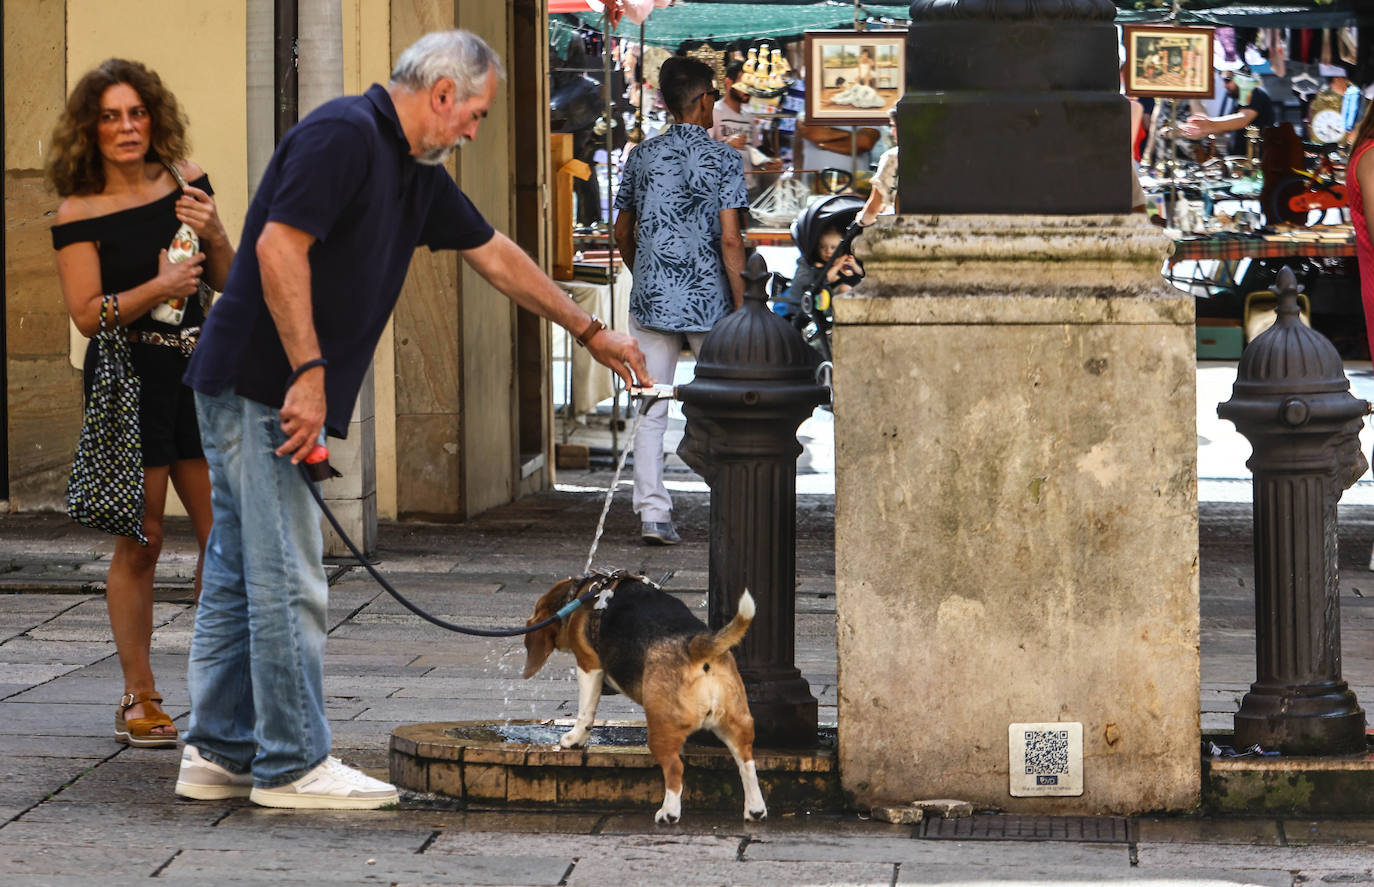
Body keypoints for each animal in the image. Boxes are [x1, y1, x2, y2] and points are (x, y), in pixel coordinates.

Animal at [522, 576, 769, 829]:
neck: (581, 592)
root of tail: (695, 646)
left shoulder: (589, 666)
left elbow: (585, 712)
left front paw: (574, 740)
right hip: (736, 723)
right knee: (747, 763)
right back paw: (755, 809)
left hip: (661, 728)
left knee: (675, 769)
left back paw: (668, 813)